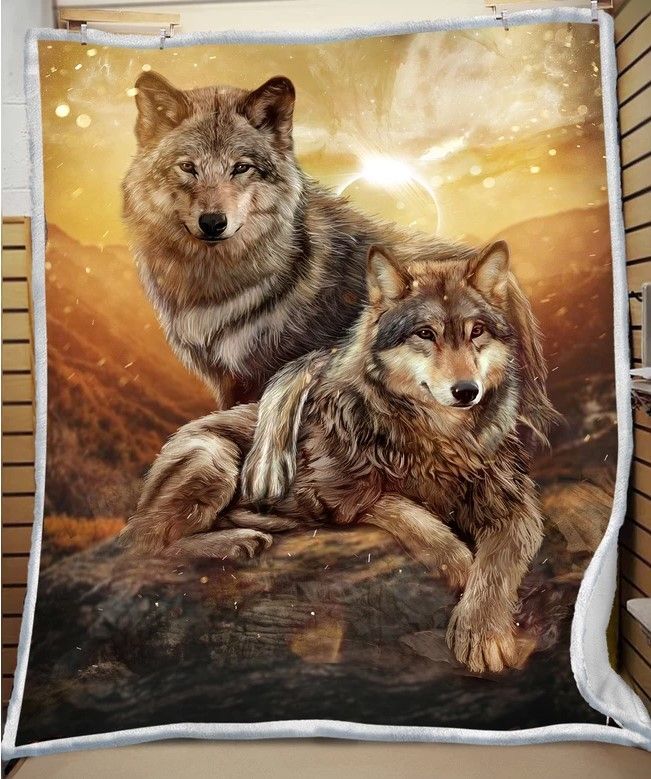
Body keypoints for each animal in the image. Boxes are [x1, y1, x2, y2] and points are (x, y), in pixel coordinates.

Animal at [121, 71, 556, 505]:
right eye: (188, 168)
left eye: (241, 168)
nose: (213, 222)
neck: (220, 282)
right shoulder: (230, 382)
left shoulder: (320, 354)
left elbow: (284, 382)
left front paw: (266, 468)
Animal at [121, 239, 546, 673]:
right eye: (425, 334)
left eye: (476, 331)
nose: (466, 391)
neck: (438, 437)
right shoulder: (331, 492)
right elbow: (401, 506)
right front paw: (455, 557)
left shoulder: (514, 505)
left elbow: (498, 564)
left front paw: (482, 632)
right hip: (215, 457)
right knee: (139, 547)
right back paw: (234, 542)